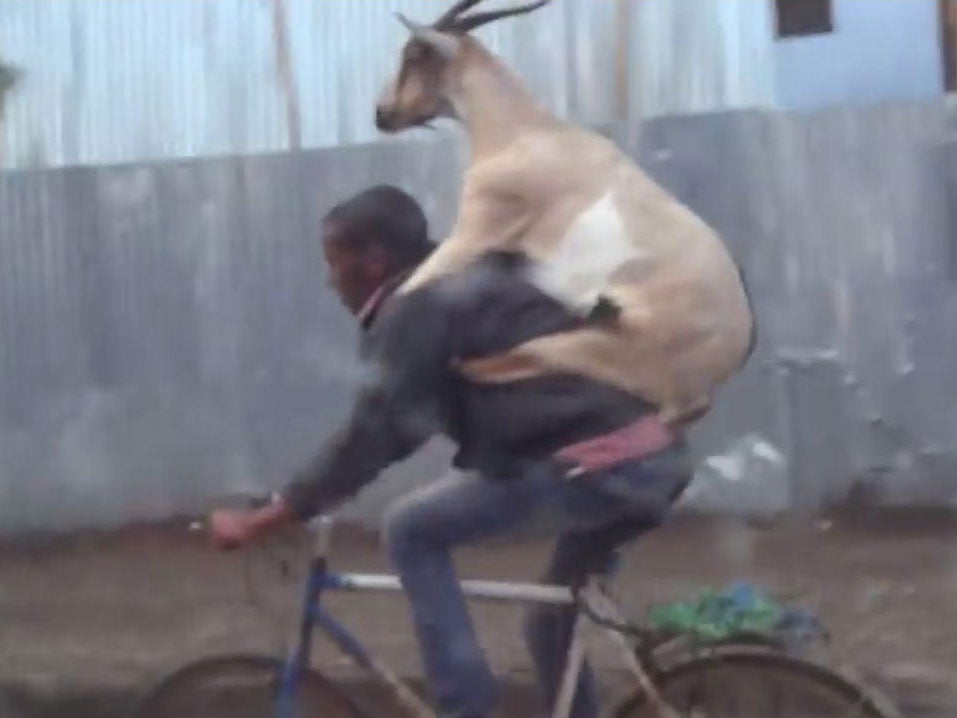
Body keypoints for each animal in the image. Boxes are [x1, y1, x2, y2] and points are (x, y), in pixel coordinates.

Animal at [374, 0, 756, 428]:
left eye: (413, 54)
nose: (382, 114)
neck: (527, 132)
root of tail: (736, 343)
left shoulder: (474, 231)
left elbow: (405, 291)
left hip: (604, 347)